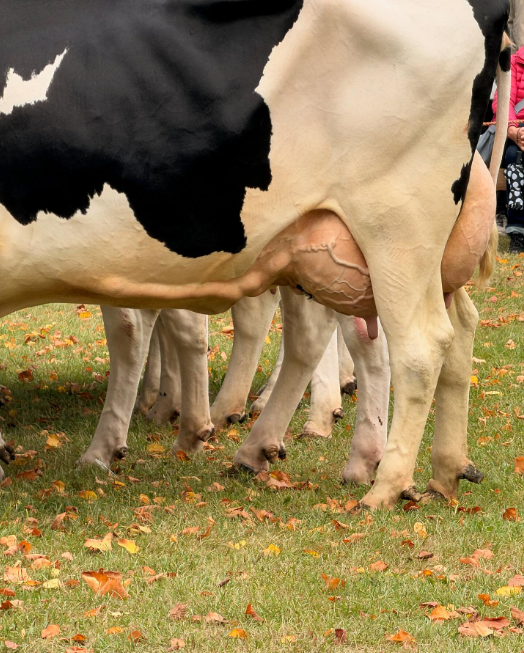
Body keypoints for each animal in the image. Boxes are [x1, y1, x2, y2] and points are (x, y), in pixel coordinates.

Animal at [0, 0, 510, 508]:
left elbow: (146, 330)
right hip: (342, 248)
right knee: (435, 331)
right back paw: (433, 470)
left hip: (397, 231)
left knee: (417, 347)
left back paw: (382, 483)